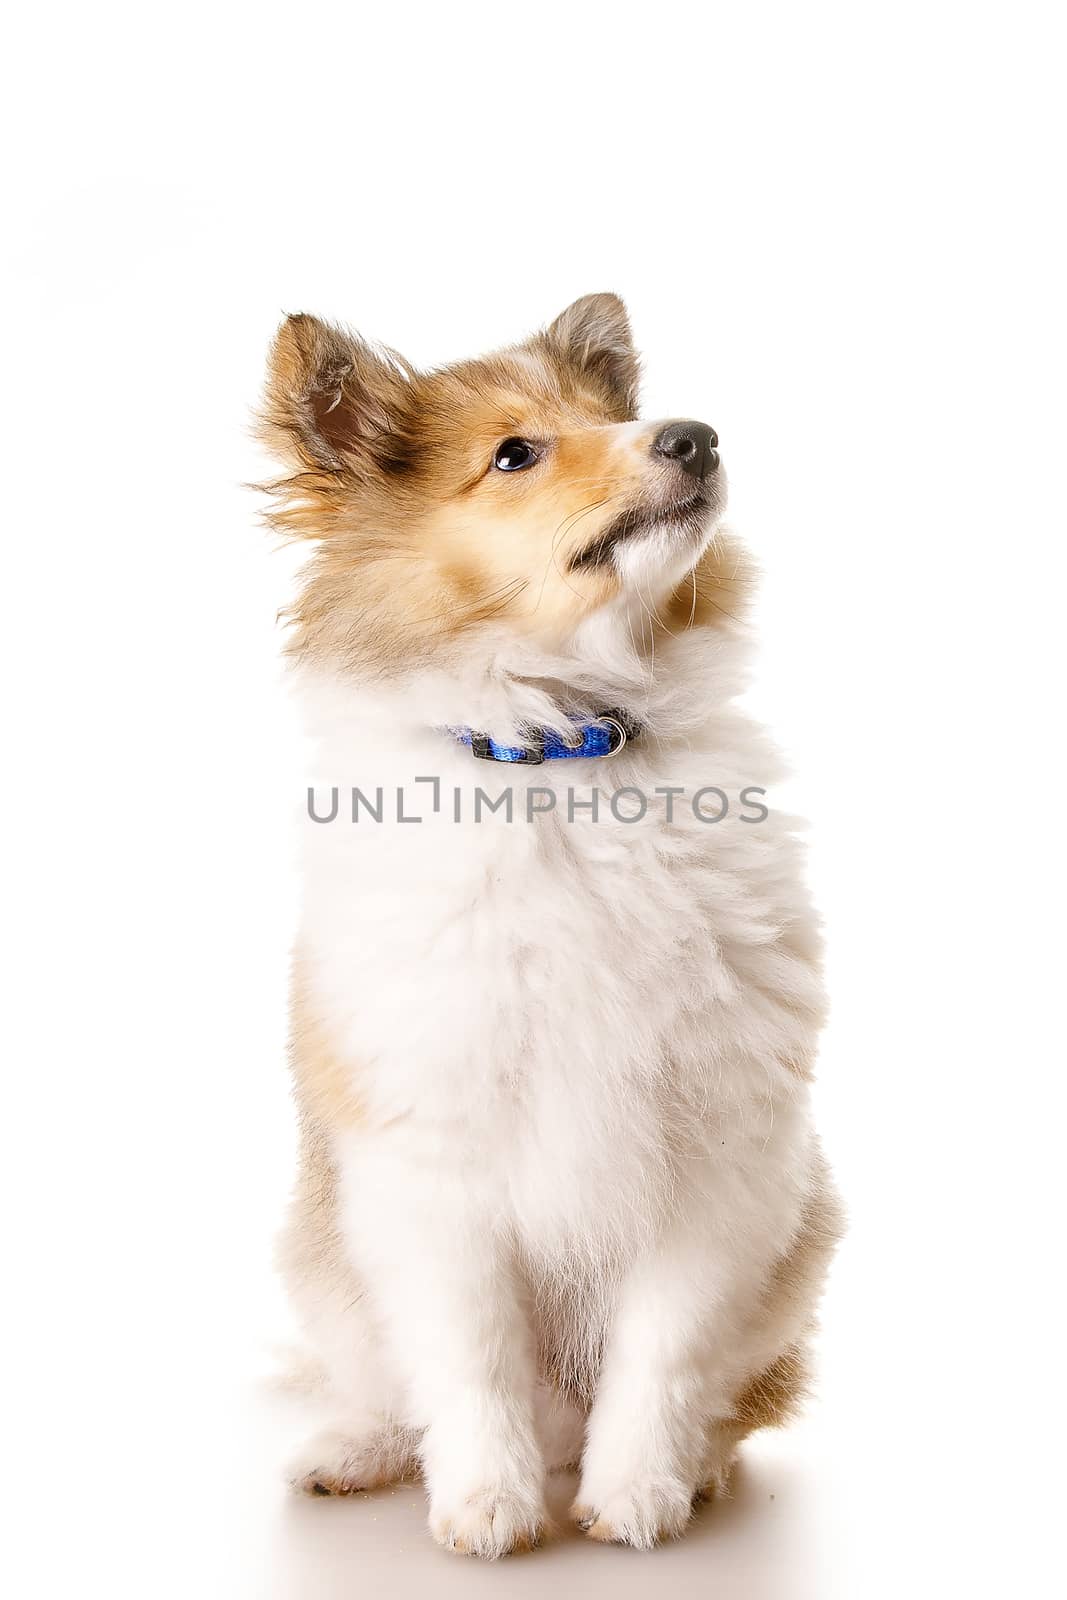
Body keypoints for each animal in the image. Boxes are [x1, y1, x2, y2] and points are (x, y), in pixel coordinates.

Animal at [259, 294, 844, 1555]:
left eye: (606, 417)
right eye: (515, 454)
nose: (694, 436)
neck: (569, 752)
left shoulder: (713, 1154)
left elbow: (659, 1353)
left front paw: (632, 1496)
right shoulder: (431, 1162)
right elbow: (470, 1359)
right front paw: (488, 1504)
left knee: (729, 1400)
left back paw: (687, 1473)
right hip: (324, 1258)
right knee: (390, 1385)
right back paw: (355, 1453)